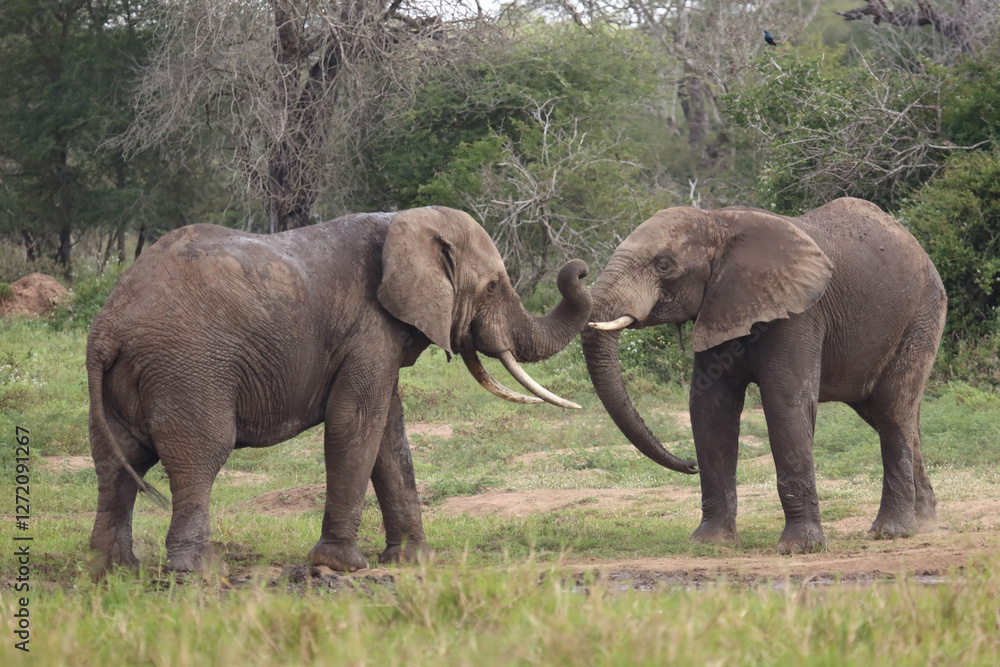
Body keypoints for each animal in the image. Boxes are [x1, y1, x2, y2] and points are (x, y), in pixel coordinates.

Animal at [87, 206, 591, 575]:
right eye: (492, 285)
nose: (581, 269)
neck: (401, 222)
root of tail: (108, 326)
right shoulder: (369, 329)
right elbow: (356, 422)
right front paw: (342, 565)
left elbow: (388, 433)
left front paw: (413, 562)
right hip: (189, 369)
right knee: (200, 454)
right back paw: (199, 571)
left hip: (127, 380)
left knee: (117, 462)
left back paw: (113, 570)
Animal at [581, 198, 946, 554]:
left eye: (664, 265)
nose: (689, 464)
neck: (719, 221)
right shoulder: (718, 307)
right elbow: (710, 407)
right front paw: (712, 542)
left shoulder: (798, 313)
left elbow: (784, 403)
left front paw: (798, 548)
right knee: (893, 415)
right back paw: (924, 521)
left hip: (921, 316)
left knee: (891, 410)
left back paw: (891, 532)